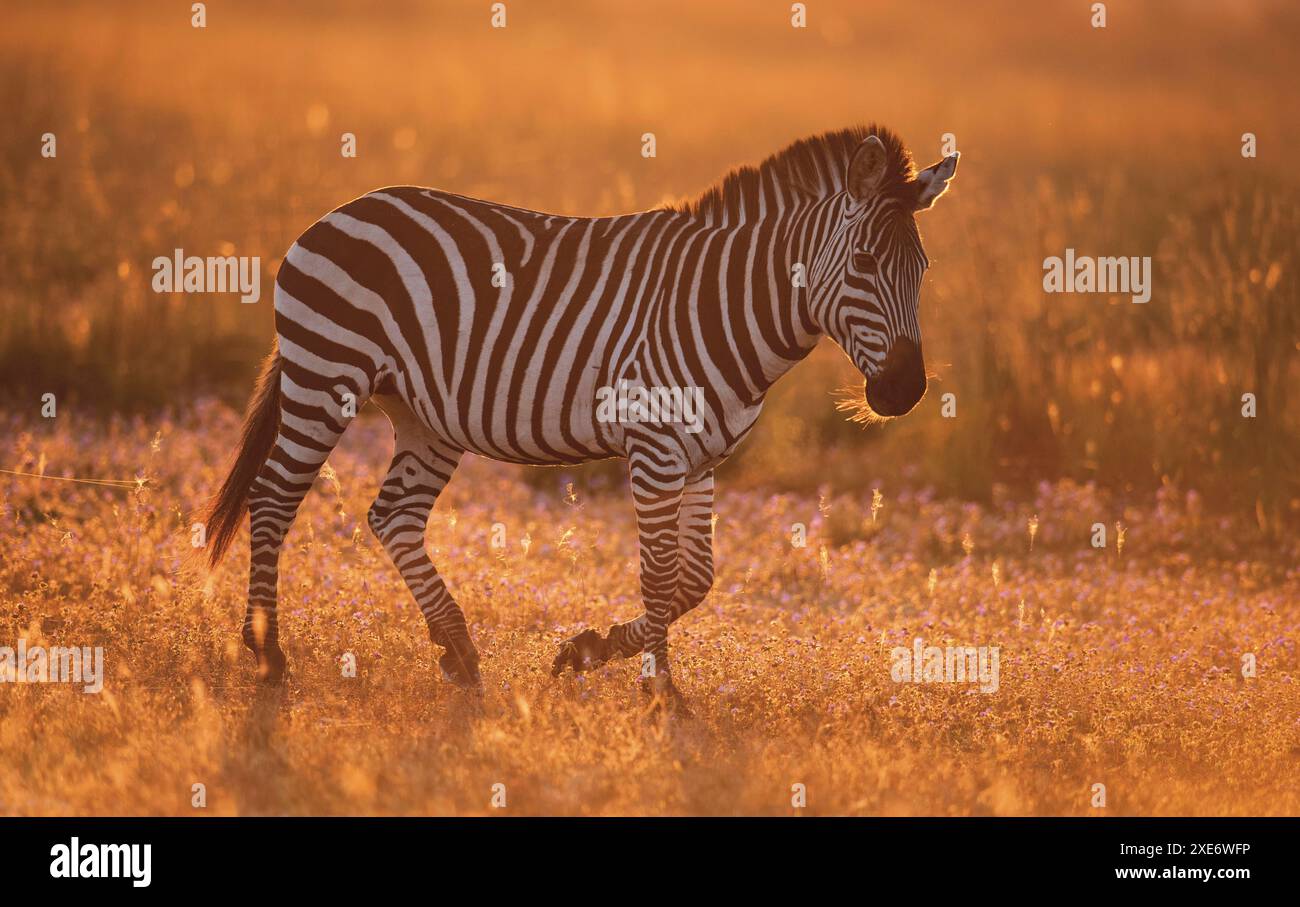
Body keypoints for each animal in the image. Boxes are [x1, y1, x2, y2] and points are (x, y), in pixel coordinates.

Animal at [202, 123, 956, 701]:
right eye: (864, 264)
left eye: (923, 269)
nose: (903, 393)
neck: (724, 304)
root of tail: (341, 209)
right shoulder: (655, 447)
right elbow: (660, 575)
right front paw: (660, 692)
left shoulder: (702, 456)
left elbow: (695, 580)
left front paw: (588, 650)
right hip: (326, 376)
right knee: (273, 499)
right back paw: (268, 653)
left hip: (425, 416)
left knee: (393, 516)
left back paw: (458, 650)